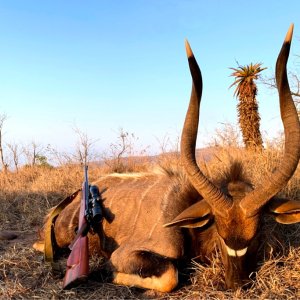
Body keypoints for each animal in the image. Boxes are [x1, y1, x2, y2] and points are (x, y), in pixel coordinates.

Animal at [34, 24, 300, 292]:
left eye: (257, 231)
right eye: (220, 230)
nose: (236, 284)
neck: (182, 206)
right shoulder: (128, 254)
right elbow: (169, 276)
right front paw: (111, 273)